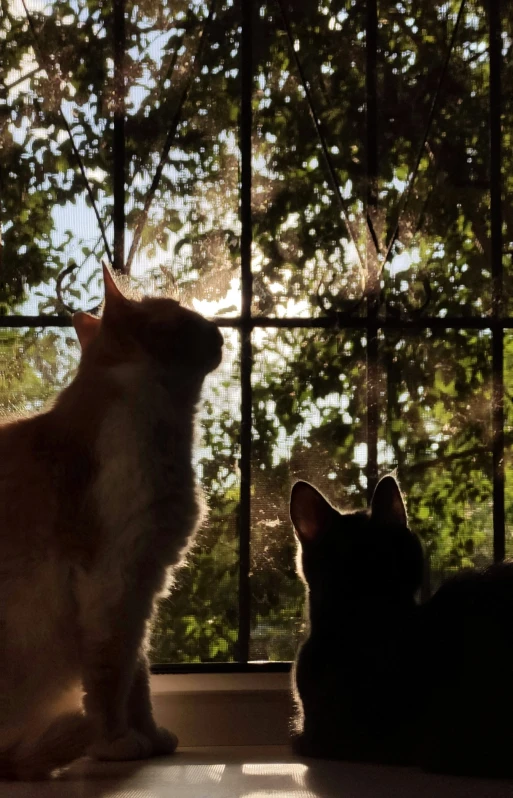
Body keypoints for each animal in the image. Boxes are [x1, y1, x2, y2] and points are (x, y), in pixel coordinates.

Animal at [0, 268, 224, 780]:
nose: (220, 333)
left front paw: (152, 738)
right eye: (181, 318)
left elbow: (137, 679)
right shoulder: (112, 585)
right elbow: (109, 679)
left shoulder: (143, 587)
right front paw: (116, 743)